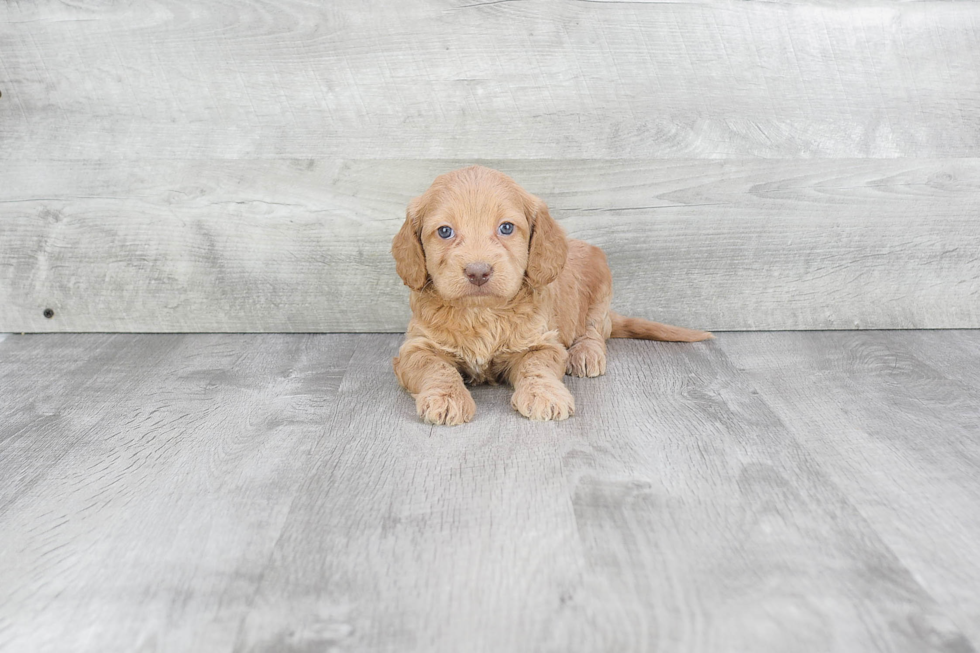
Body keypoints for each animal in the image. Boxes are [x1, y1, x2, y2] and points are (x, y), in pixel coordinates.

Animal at [390, 166, 712, 426]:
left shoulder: (542, 342)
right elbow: (436, 367)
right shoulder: (416, 348)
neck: (482, 312)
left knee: (594, 330)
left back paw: (585, 353)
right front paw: (447, 398)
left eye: (506, 227)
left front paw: (544, 395)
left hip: (600, 286)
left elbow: (537, 367)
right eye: (445, 231)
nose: (478, 272)